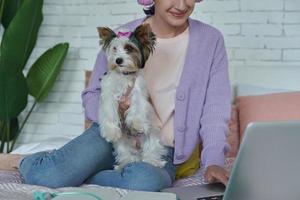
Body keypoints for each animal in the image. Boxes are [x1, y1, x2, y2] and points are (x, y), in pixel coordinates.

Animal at [96, 24, 166, 170]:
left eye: (129, 48)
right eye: (114, 49)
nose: (118, 60)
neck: (124, 75)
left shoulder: (138, 91)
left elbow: (138, 107)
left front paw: (137, 124)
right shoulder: (108, 93)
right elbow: (109, 111)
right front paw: (111, 132)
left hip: (152, 135)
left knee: (151, 151)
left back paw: (153, 162)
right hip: (122, 142)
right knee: (126, 154)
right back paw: (124, 164)